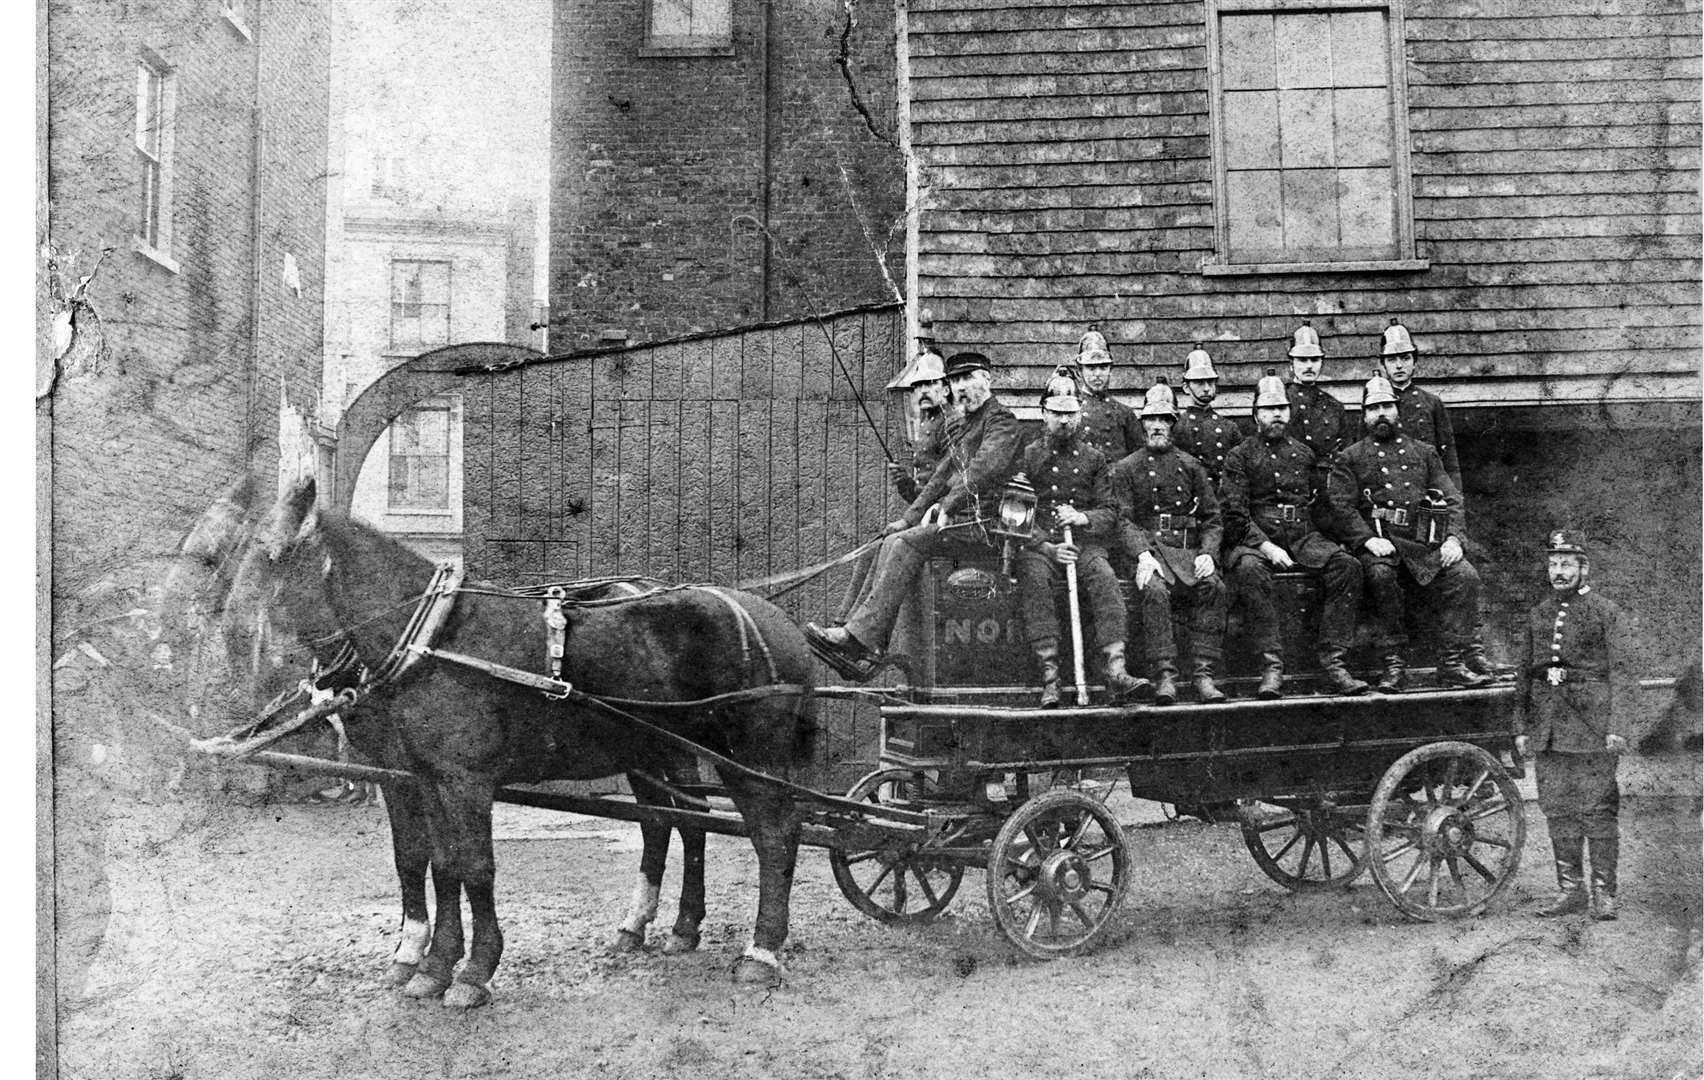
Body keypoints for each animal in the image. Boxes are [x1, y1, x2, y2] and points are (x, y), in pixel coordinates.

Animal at [183, 473, 821, 1008]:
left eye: (273, 555)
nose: (226, 639)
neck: (429, 640)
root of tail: (776, 620)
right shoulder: (419, 775)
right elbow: (433, 861)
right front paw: (428, 963)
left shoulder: (461, 781)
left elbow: (474, 867)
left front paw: (471, 970)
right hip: (658, 749)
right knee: (677, 823)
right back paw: (669, 927)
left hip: (749, 757)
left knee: (774, 836)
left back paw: (761, 951)